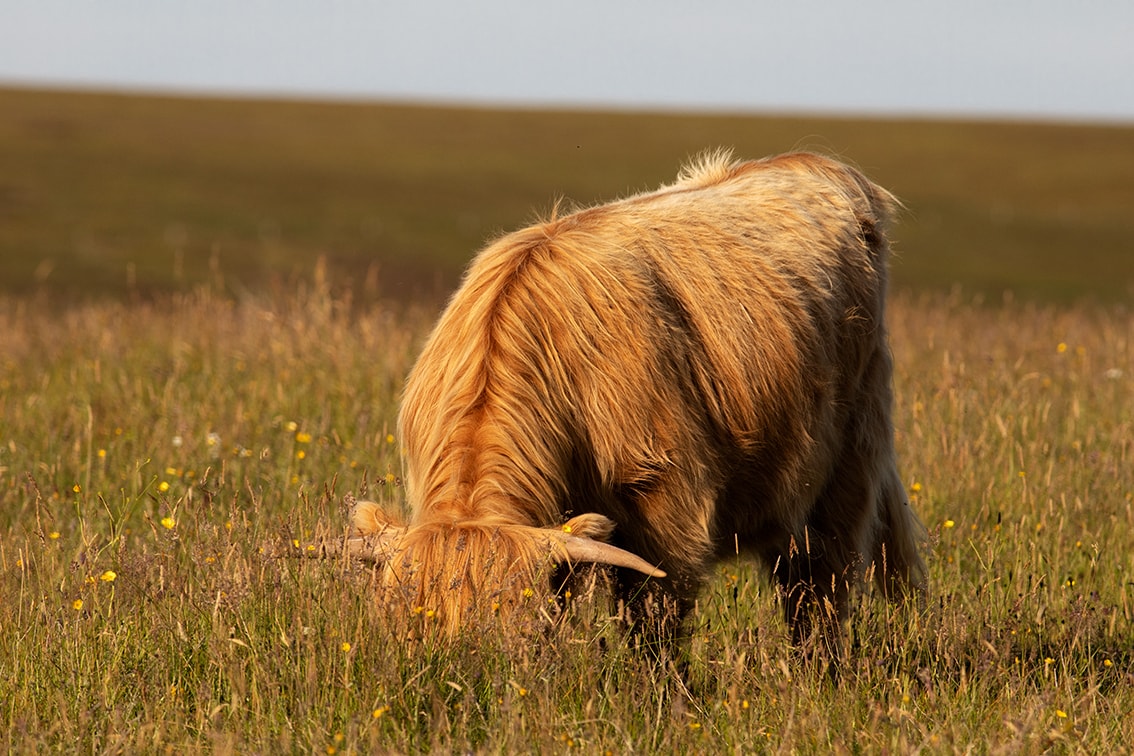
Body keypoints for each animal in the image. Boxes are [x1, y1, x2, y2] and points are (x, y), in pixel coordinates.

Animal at [331, 151, 925, 652]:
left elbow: (653, 623)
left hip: (850, 460)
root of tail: (817, 163)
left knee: (819, 588)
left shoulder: (667, 509)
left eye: (517, 642)